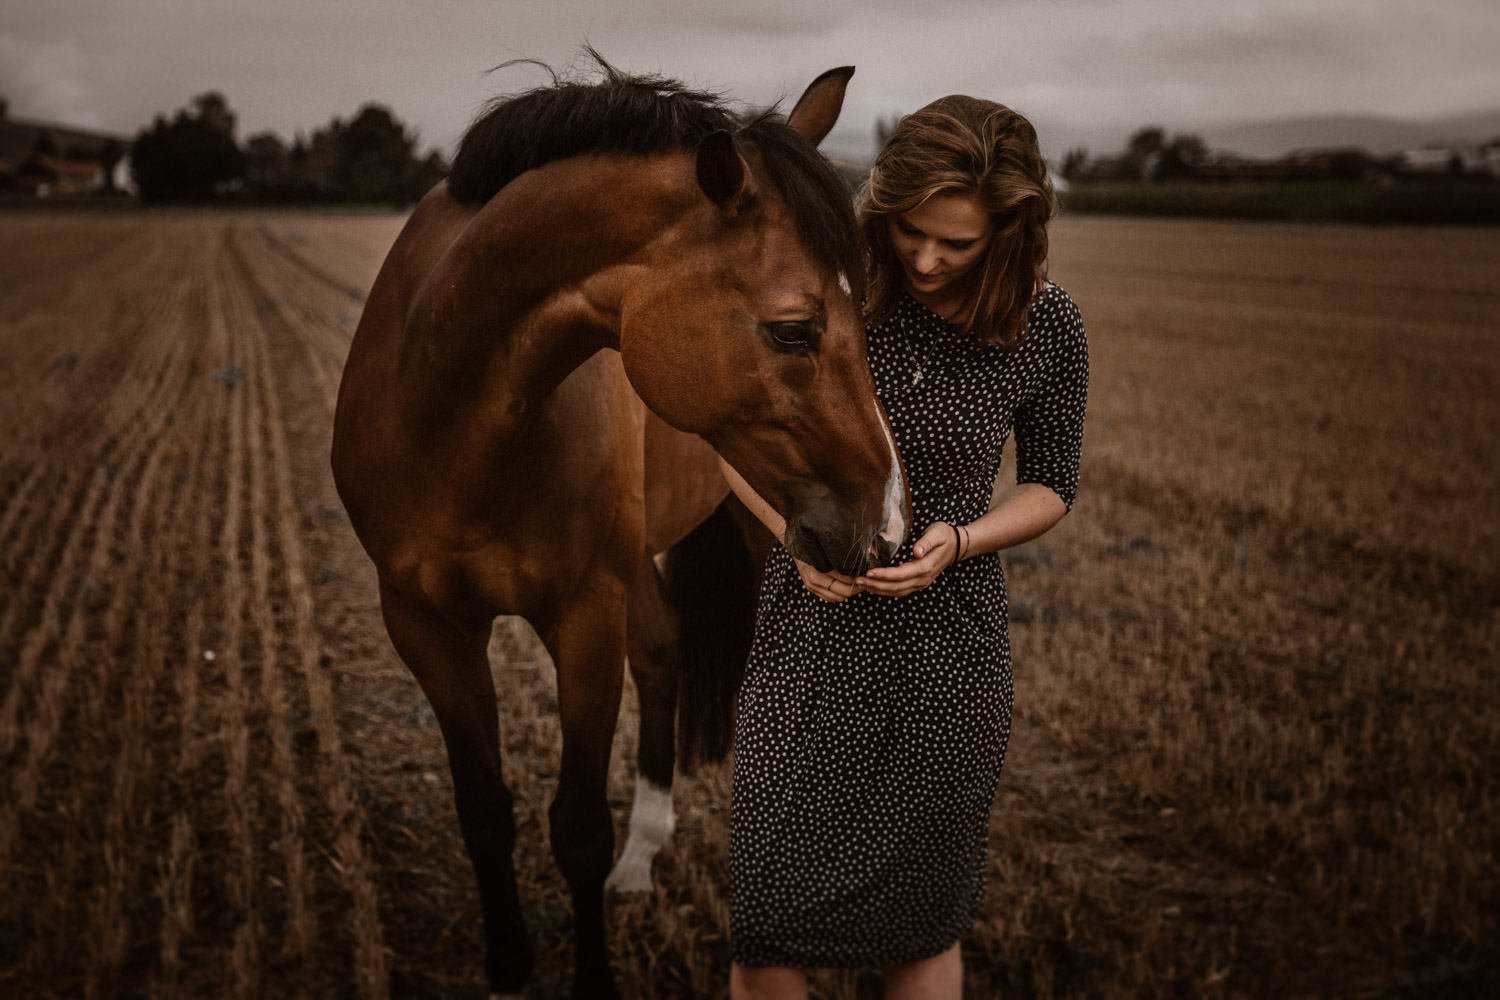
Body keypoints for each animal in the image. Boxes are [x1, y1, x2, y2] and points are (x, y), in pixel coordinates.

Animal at [333, 62, 906, 1000]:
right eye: (794, 330)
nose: (886, 522)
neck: (447, 415)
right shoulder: (425, 626)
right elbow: (484, 810)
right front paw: (507, 966)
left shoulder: (583, 619)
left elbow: (575, 827)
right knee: (666, 651)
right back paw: (643, 856)